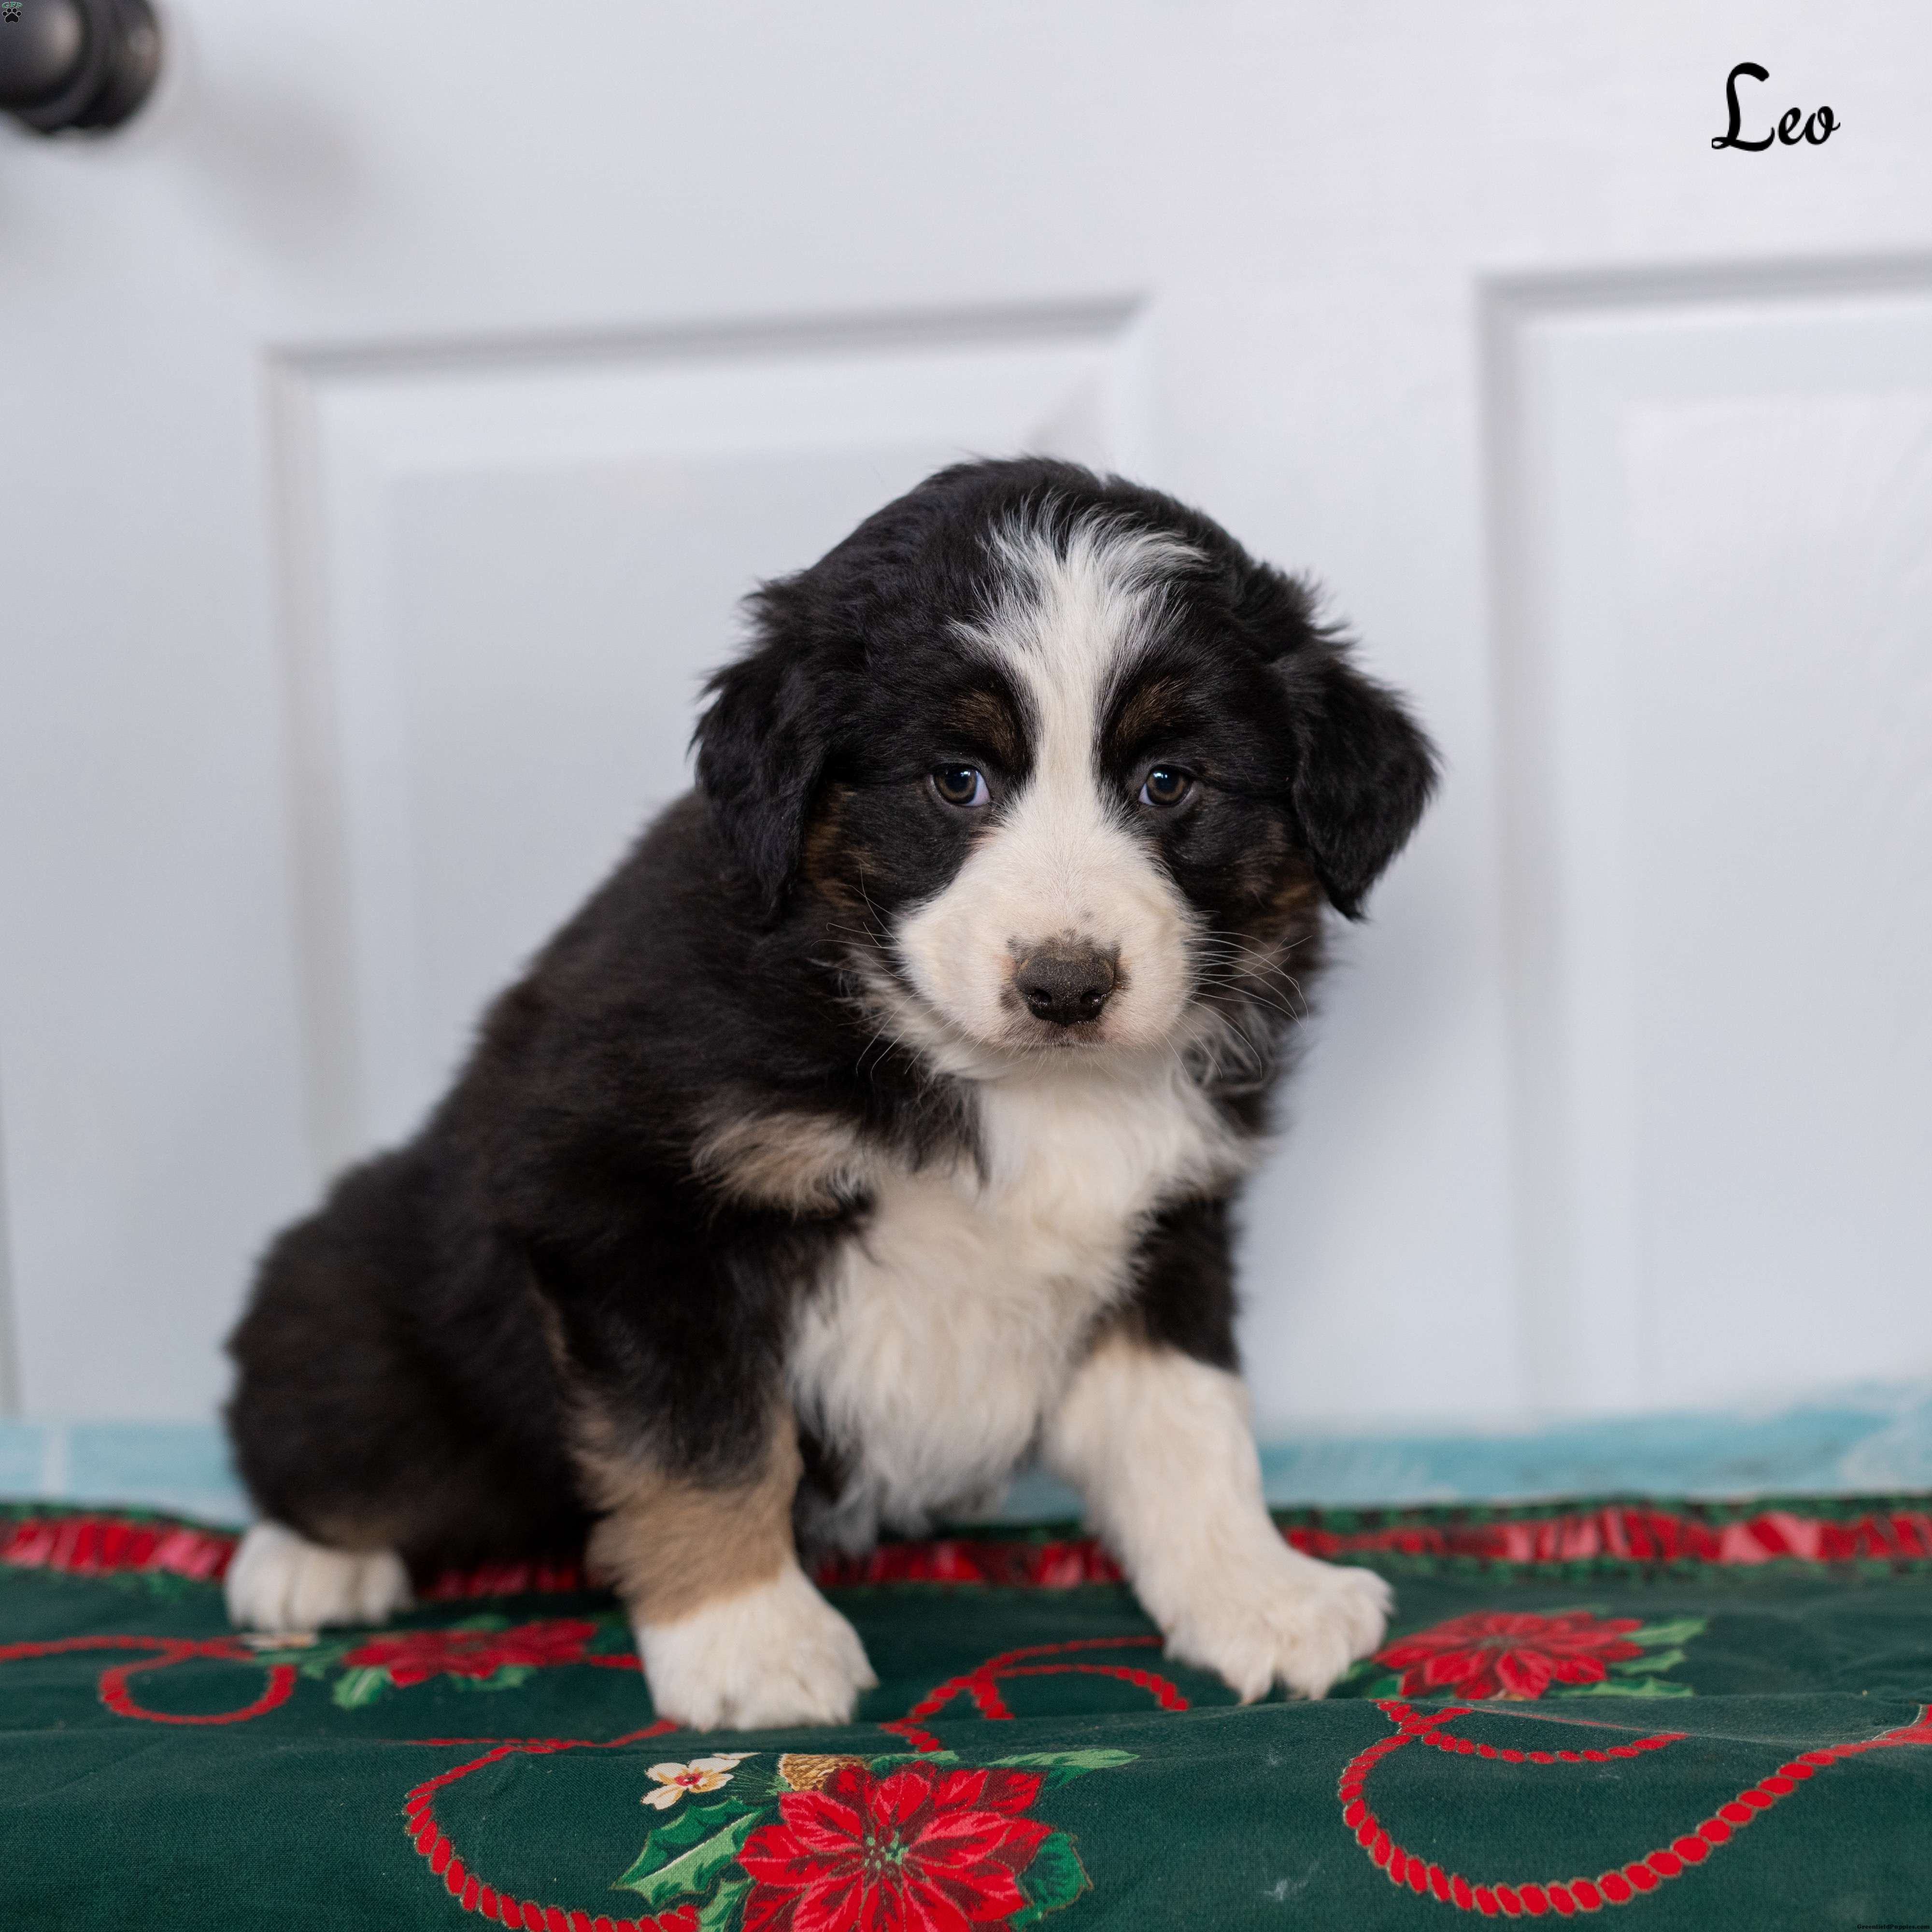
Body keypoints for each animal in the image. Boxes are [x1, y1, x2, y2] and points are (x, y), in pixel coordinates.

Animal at [224, 457, 1437, 1730]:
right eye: (956, 780)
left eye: (1168, 783)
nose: (1065, 984)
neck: (999, 1077)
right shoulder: (628, 1205)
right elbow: (704, 1440)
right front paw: (749, 1640)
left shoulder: (1167, 1224)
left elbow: (1189, 1421)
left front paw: (1259, 1595)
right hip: (354, 1303)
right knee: (325, 1429)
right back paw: (304, 1563)